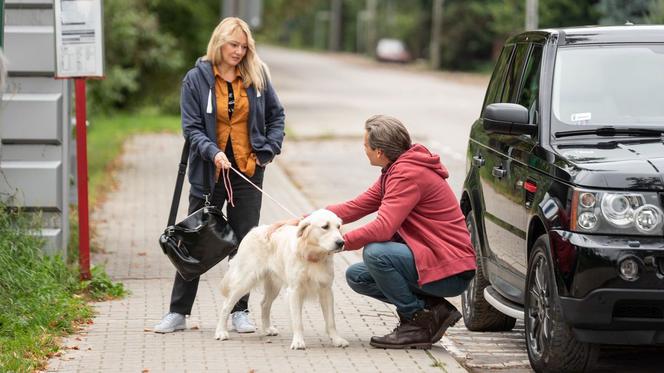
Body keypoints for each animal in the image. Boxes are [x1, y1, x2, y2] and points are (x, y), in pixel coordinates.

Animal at [215, 209, 350, 348]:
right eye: (325, 227)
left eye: (338, 227)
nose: (341, 243)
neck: (311, 253)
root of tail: (254, 230)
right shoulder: (295, 290)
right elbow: (297, 321)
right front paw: (298, 341)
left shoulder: (326, 289)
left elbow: (331, 321)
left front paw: (337, 339)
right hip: (245, 280)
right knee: (226, 305)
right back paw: (221, 332)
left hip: (273, 285)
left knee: (264, 304)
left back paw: (267, 329)